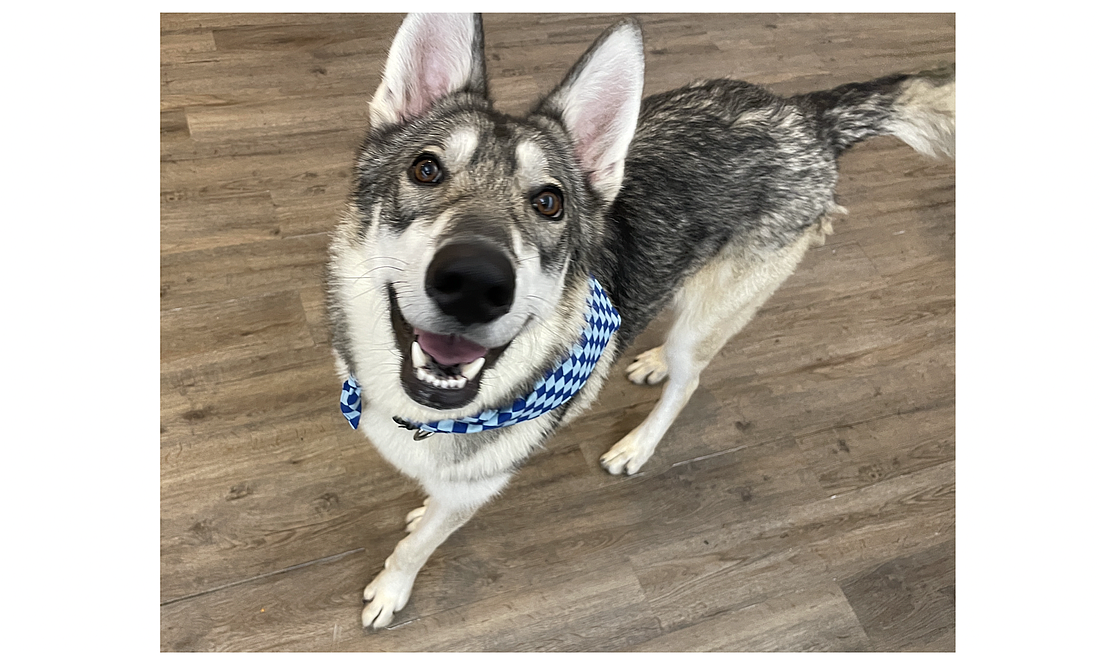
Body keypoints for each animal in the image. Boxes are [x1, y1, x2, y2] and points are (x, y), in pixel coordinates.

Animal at [323, 12, 954, 629]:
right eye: (426, 169)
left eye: (549, 203)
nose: (476, 284)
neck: (427, 416)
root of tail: (807, 115)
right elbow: (432, 509)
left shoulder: (475, 490)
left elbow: (420, 545)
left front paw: (392, 589)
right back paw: (649, 361)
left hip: (706, 320)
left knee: (689, 380)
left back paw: (638, 443)